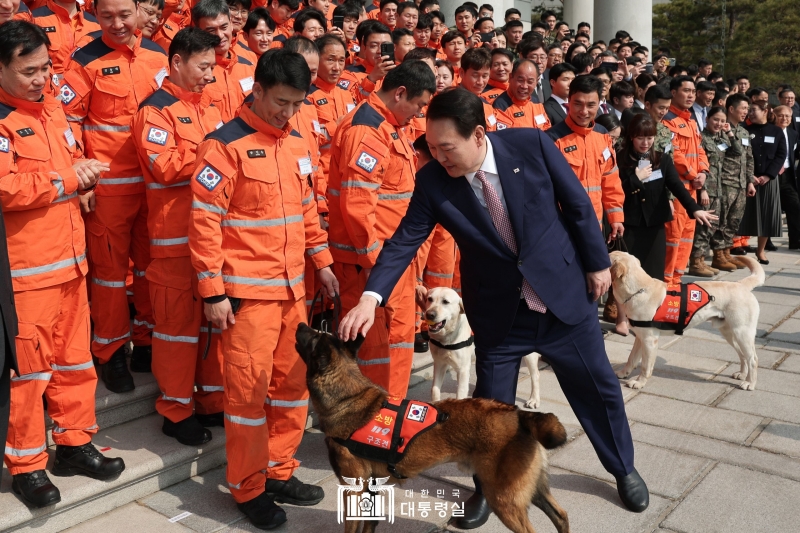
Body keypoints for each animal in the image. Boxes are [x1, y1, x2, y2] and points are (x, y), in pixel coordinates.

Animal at [294, 322, 568, 528]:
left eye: (315, 336)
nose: (300, 324)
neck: (348, 398)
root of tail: (520, 415)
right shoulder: (372, 489)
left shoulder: (353, 490)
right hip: (531, 489)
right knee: (561, 516)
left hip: (504, 498)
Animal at [608, 249, 764, 390]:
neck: (639, 290)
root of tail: (741, 284)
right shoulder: (640, 338)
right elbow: (631, 358)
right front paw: (623, 373)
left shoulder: (649, 340)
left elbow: (646, 366)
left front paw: (639, 382)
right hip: (729, 332)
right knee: (743, 355)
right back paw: (742, 375)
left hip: (742, 332)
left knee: (753, 358)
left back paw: (750, 383)